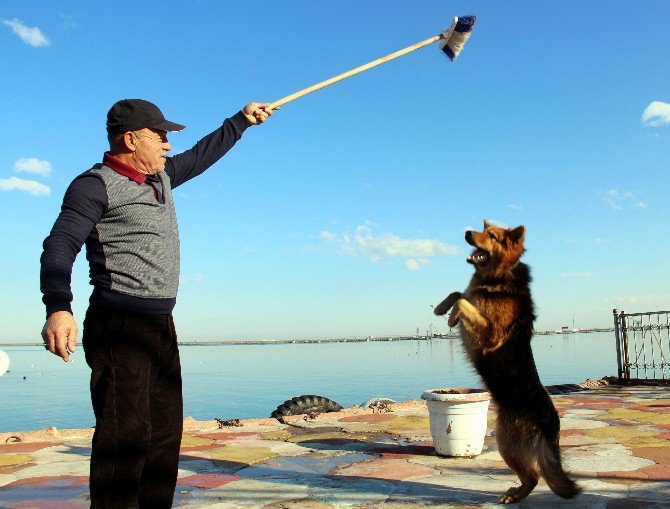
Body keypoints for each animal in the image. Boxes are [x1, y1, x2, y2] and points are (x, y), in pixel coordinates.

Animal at [436, 220, 584, 502]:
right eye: (483, 231)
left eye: (492, 236)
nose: (467, 233)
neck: (497, 275)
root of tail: (551, 420)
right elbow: (458, 292)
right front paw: (441, 308)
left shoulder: (490, 333)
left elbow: (463, 300)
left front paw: (451, 316)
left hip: (506, 442)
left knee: (534, 476)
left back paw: (515, 495)